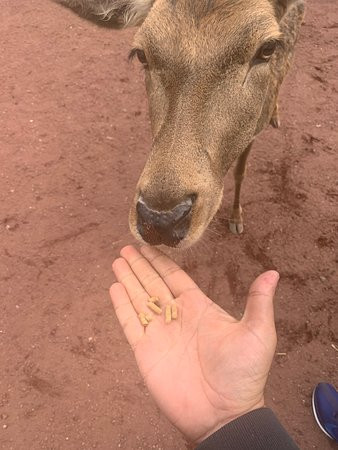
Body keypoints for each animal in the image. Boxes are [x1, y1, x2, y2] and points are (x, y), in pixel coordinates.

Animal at [54, 0, 304, 248]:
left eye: (267, 48)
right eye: (141, 54)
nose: (160, 220)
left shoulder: (253, 132)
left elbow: (240, 173)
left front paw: (236, 219)